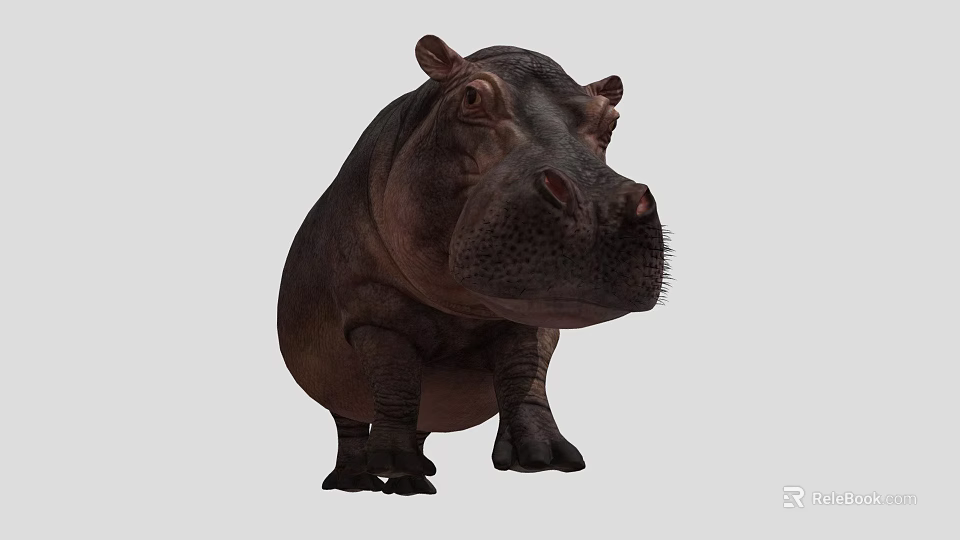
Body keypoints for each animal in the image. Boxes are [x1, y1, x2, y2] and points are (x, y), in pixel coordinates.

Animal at [277, 35, 668, 496]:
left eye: (611, 119)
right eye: (471, 97)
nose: (596, 206)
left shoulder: (531, 321)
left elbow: (523, 375)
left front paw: (544, 458)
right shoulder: (374, 312)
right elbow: (396, 381)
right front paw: (389, 461)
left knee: (428, 418)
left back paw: (417, 480)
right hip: (336, 383)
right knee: (350, 421)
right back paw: (358, 481)